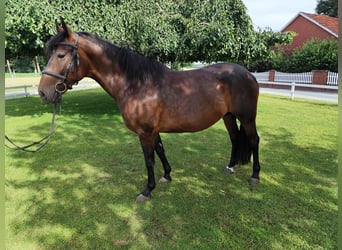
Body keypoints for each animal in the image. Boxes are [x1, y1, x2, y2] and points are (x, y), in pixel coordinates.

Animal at [38, 18, 262, 202]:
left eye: (61, 55)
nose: (43, 92)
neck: (137, 84)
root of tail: (248, 74)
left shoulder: (144, 132)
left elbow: (149, 160)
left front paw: (147, 190)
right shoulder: (153, 131)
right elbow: (160, 150)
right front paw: (167, 175)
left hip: (247, 117)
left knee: (253, 140)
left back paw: (255, 176)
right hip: (228, 116)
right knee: (235, 138)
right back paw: (230, 167)